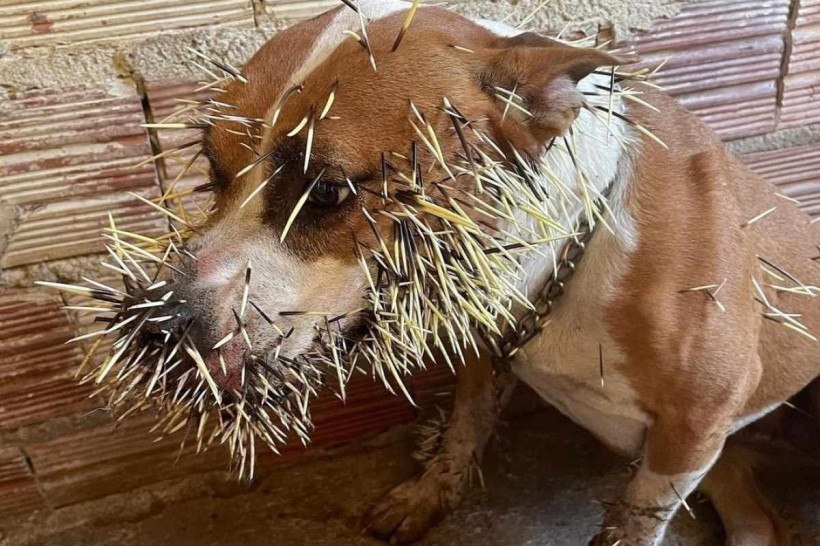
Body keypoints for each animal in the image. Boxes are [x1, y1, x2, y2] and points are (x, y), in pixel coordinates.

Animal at [162, 2, 820, 540]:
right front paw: (429, 494)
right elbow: (463, 427)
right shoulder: (483, 346)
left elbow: (638, 517)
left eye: (325, 192)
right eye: (212, 173)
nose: (164, 325)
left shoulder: (696, 424)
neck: (574, 250)